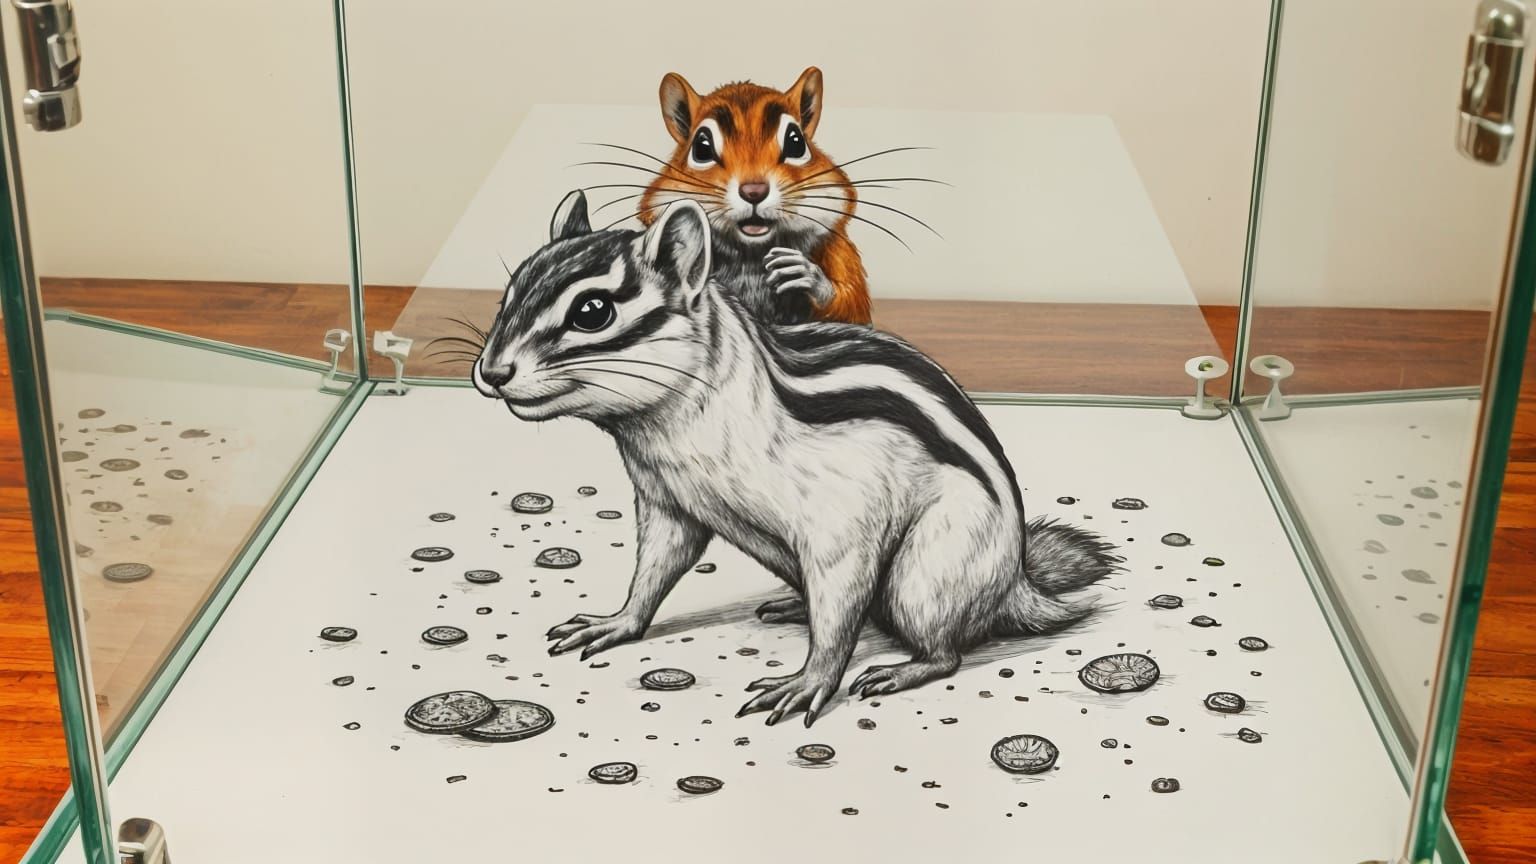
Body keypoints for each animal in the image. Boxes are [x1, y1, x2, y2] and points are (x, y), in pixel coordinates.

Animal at [473, 191, 1119, 726]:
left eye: (592, 311)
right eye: (510, 292)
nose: (492, 372)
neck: (675, 426)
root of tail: (1014, 581)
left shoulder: (841, 519)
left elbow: (839, 603)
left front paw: (810, 681)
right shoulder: (667, 500)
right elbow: (656, 567)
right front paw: (618, 621)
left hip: (932, 569)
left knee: (941, 647)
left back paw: (901, 667)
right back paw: (792, 604)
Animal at [635, 67, 872, 326]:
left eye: (796, 142)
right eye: (701, 148)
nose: (754, 191)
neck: (751, 252)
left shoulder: (837, 249)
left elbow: (850, 302)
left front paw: (807, 275)